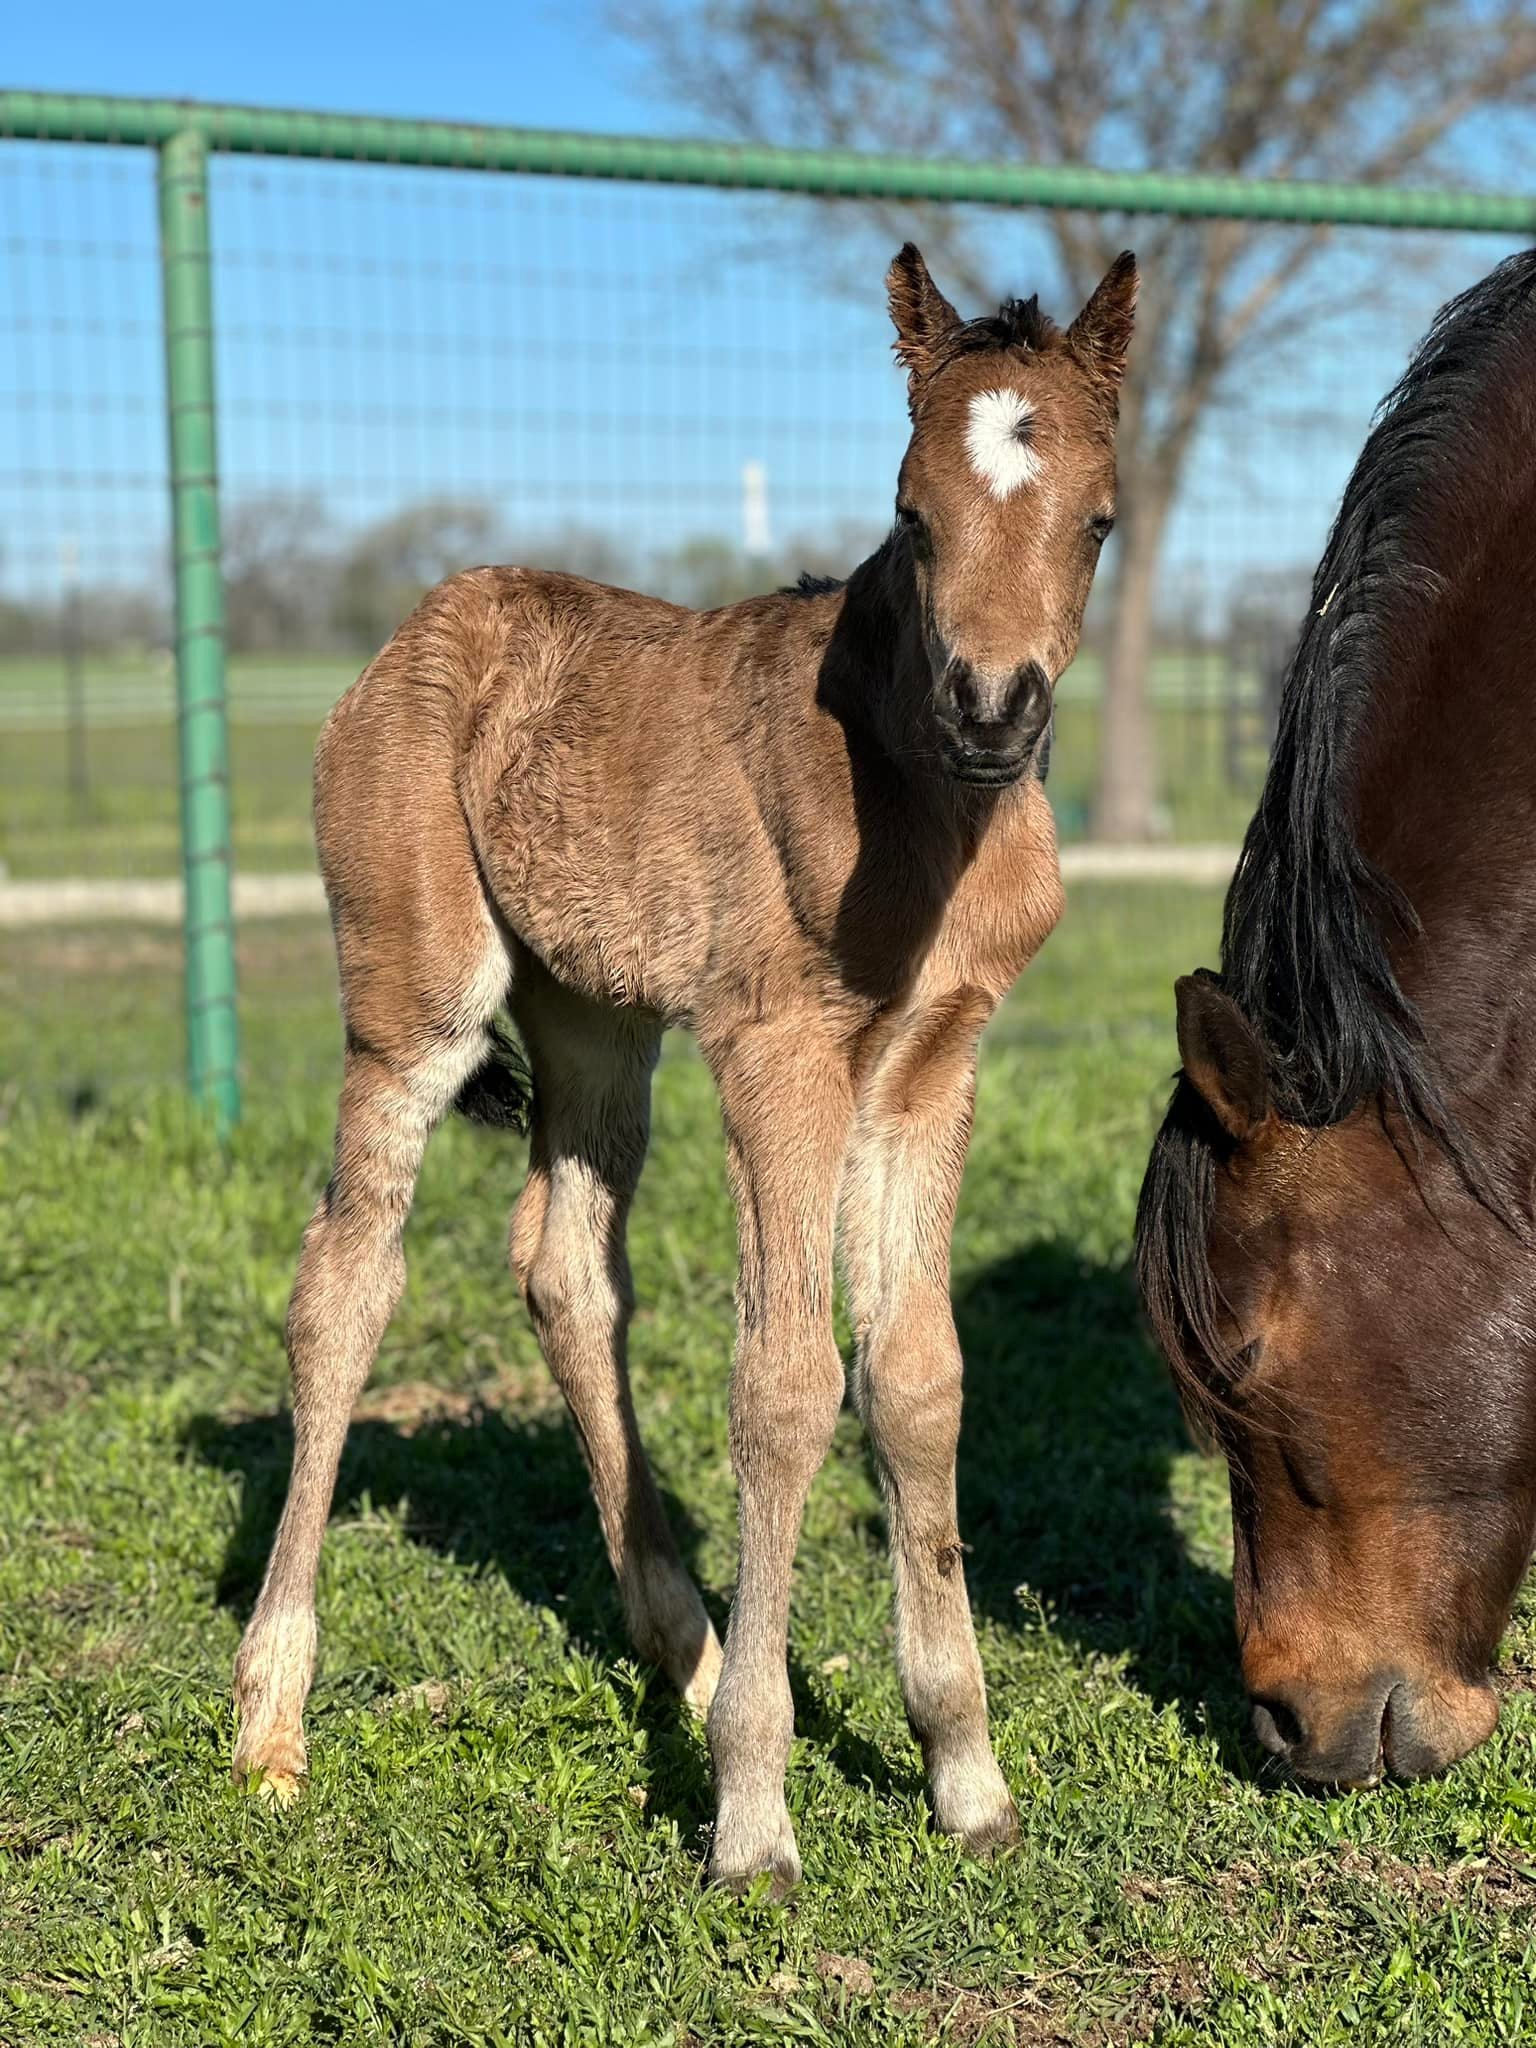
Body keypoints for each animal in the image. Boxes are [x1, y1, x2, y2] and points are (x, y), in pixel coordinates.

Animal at [231, 245, 1139, 1888]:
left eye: (1098, 517)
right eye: (911, 511)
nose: (992, 710)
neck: (918, 799)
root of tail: (418, 629)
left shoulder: (934, 1063)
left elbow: (918, 1376)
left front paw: (965, 1776)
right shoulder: (778, 1049)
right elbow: (784, 1382)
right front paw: (753, 1820)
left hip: (597, 1022)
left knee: (564, 1271)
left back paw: (699, 1652)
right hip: (415, 998)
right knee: (345, 1281)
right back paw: (270, 1719)